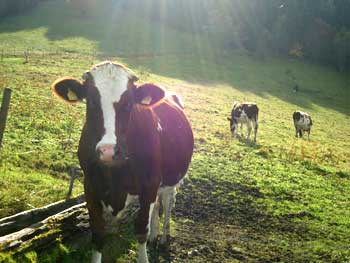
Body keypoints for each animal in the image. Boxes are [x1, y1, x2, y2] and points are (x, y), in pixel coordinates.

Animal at [52, 62, 194, 263]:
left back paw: (164, 237)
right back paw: (155, 236)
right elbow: (98, 234)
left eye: (129, 103)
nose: (108, 151)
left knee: (168, 202)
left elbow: (141, 229)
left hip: (172, 178)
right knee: (158, 204)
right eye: (91, 101)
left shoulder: (149, 184)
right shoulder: (91, 186)